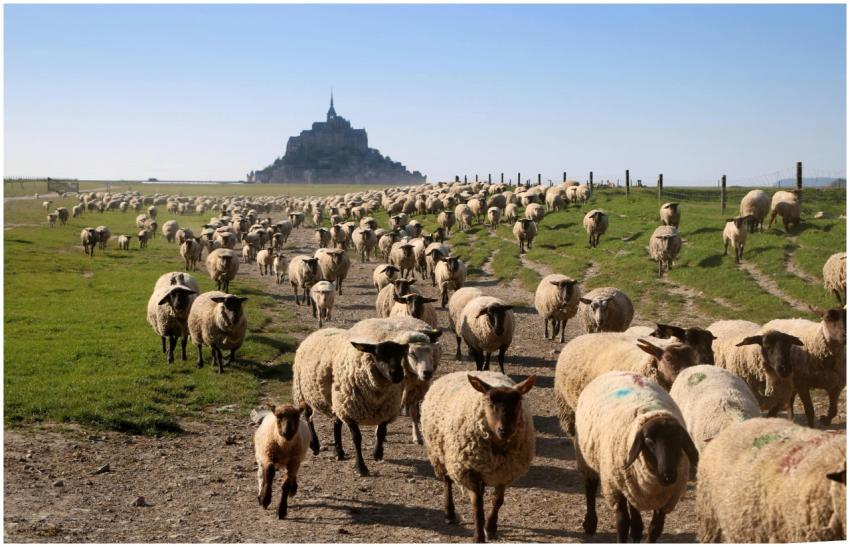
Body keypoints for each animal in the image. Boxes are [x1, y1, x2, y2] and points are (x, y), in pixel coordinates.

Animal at [292, 327, 409, 476]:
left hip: (337, 401)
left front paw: (378, 454)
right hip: (304, 393)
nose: (397, 374)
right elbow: (357, 438)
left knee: (336, 423)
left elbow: (381, 433)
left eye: (401, 355)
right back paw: (315, 446)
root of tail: (320, 330)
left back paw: (339, 452)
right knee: (308, 417)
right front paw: (361, 467)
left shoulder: (386, 410)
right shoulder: (350, 412)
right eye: (378, 355)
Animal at [349, 316, 442, 445]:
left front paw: (417, 436)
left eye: (430, 351)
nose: (427, 372)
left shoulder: (414, 389)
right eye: (412, 353)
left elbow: (414, 414)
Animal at [420, 371, 536, 543]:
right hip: (442, 453)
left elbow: (497, 501)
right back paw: (449, 513)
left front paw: (491, 528)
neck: (497, 445)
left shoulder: (504, 472)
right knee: (447, 481)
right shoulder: (469, 472)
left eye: (518, 401)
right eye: (489, 402)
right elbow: (477, 506)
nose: (505, 429)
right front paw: (479, 536)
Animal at [575, 371, 698, 543]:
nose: (668, 475)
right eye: (648, 441)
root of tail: (615, 371)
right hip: (587, 458)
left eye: (680, 439)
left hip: (630, 483)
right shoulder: (615, 488)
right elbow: (622, 523)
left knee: (635, 514)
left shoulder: (666, 499)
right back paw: (590, 523)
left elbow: (655, 529)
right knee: (590, 487)